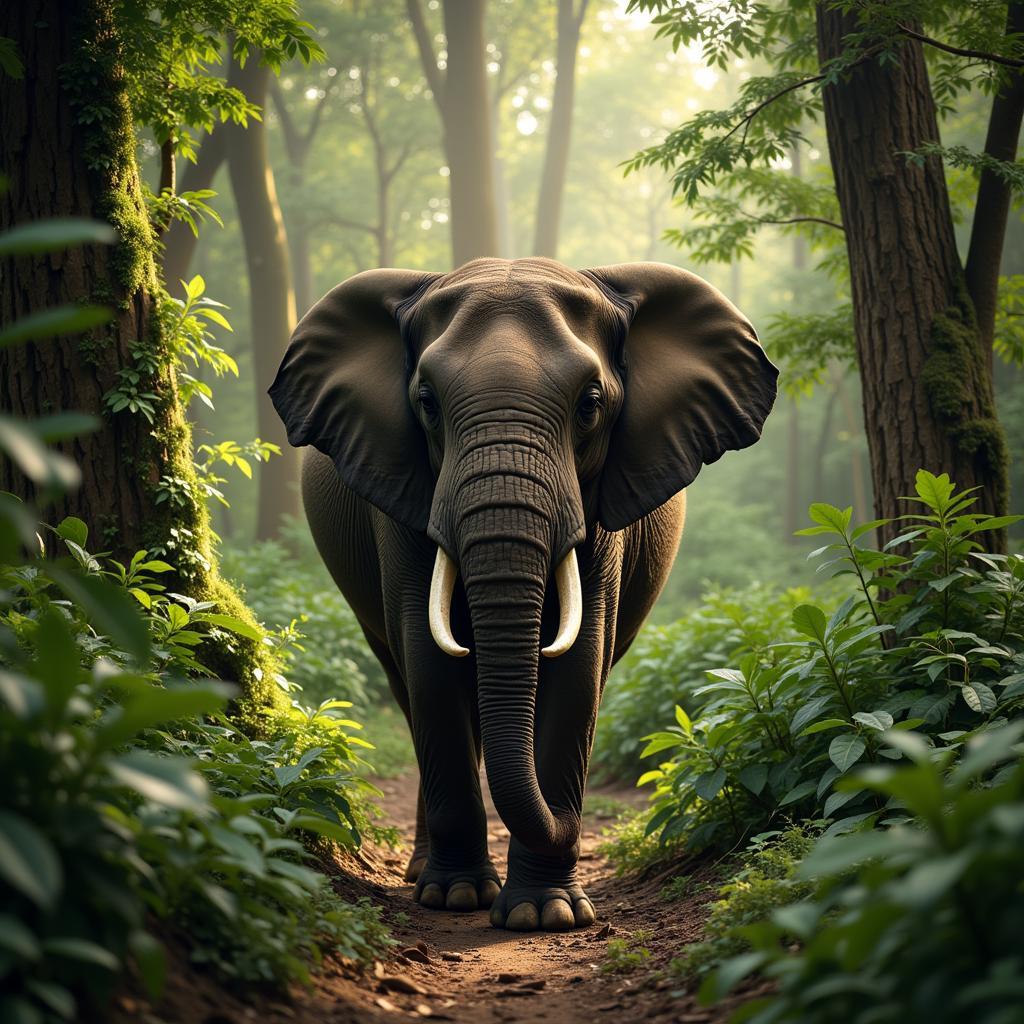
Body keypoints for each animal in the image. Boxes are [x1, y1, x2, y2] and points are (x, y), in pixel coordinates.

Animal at [268, 258, 778, 937]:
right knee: (407, 683)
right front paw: (456, 897)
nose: (572, 827)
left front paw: (546, 913)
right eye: (426, 402)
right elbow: (428, 661)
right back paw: (425, 874)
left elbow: (579, 661)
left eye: (590, 405)